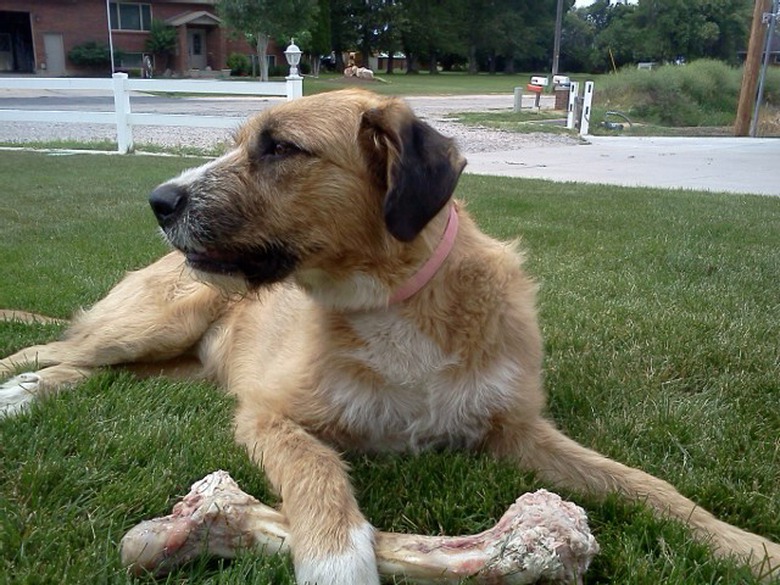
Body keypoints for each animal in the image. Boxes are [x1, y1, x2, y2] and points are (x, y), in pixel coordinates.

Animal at [0, 89, 776, 580]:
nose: (158, 201)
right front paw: (338, 561)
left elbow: (644, 483)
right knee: (54, 349)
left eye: (280, 147)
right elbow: (316, 470)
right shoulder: (268, 413)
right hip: (160, 319)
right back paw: (19, 391)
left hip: (179, 361)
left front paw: (746, 546)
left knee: (94, 368)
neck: (395, 301)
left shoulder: (517, 427)